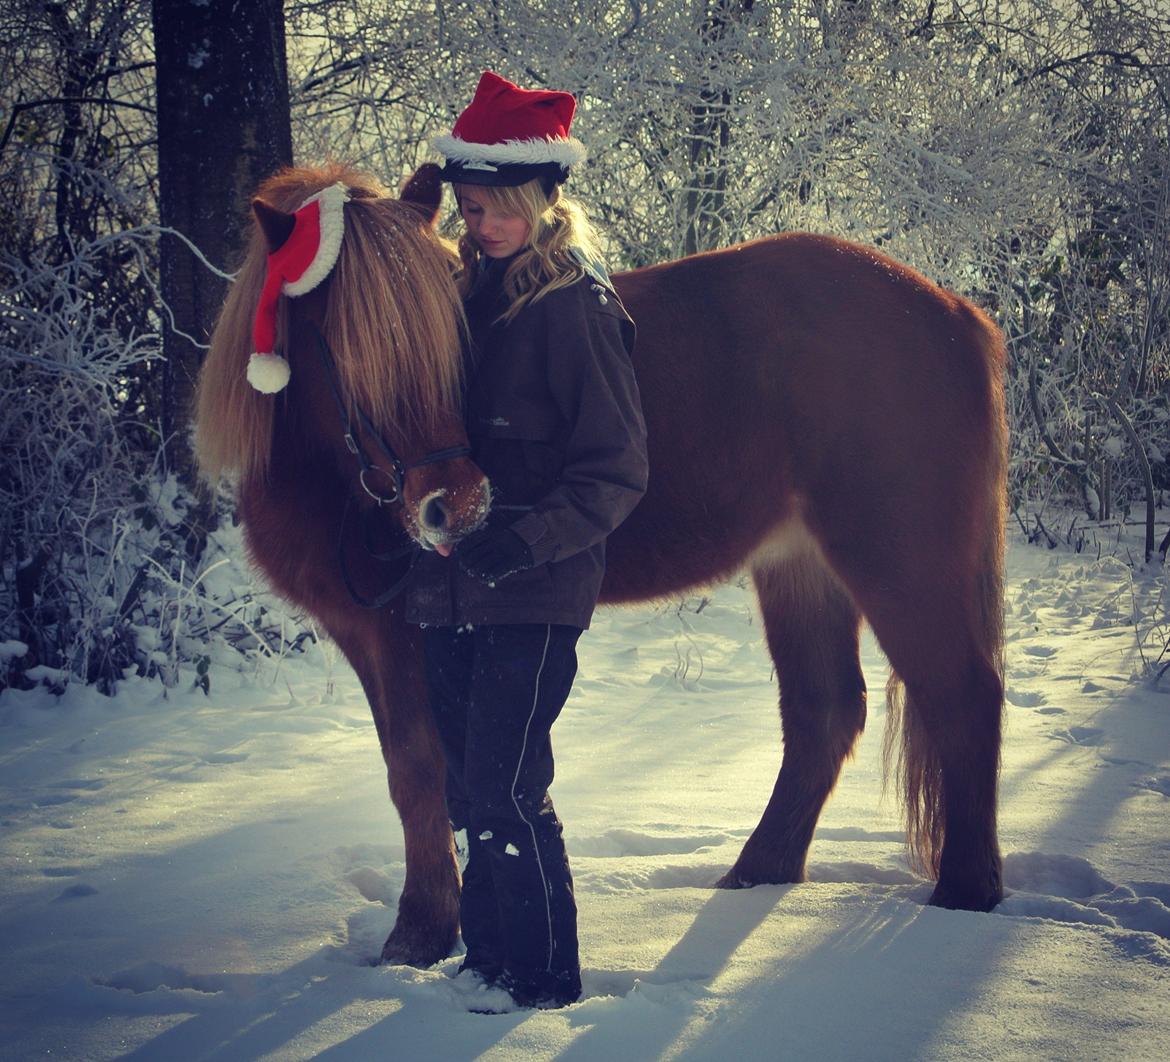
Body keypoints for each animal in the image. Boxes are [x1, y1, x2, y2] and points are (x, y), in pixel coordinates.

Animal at [194, 161, 1006, 968]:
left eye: (450, 336)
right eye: (349, 348)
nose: (458, 506)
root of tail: (956, 313)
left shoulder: (402, 634)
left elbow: (420, 773)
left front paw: (419, 932)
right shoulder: (371, 634)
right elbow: (422, 772)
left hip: (899, 560)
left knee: (962, 697)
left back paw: (964, 893)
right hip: (799, 569)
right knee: (825, 712)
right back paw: (755, 876)